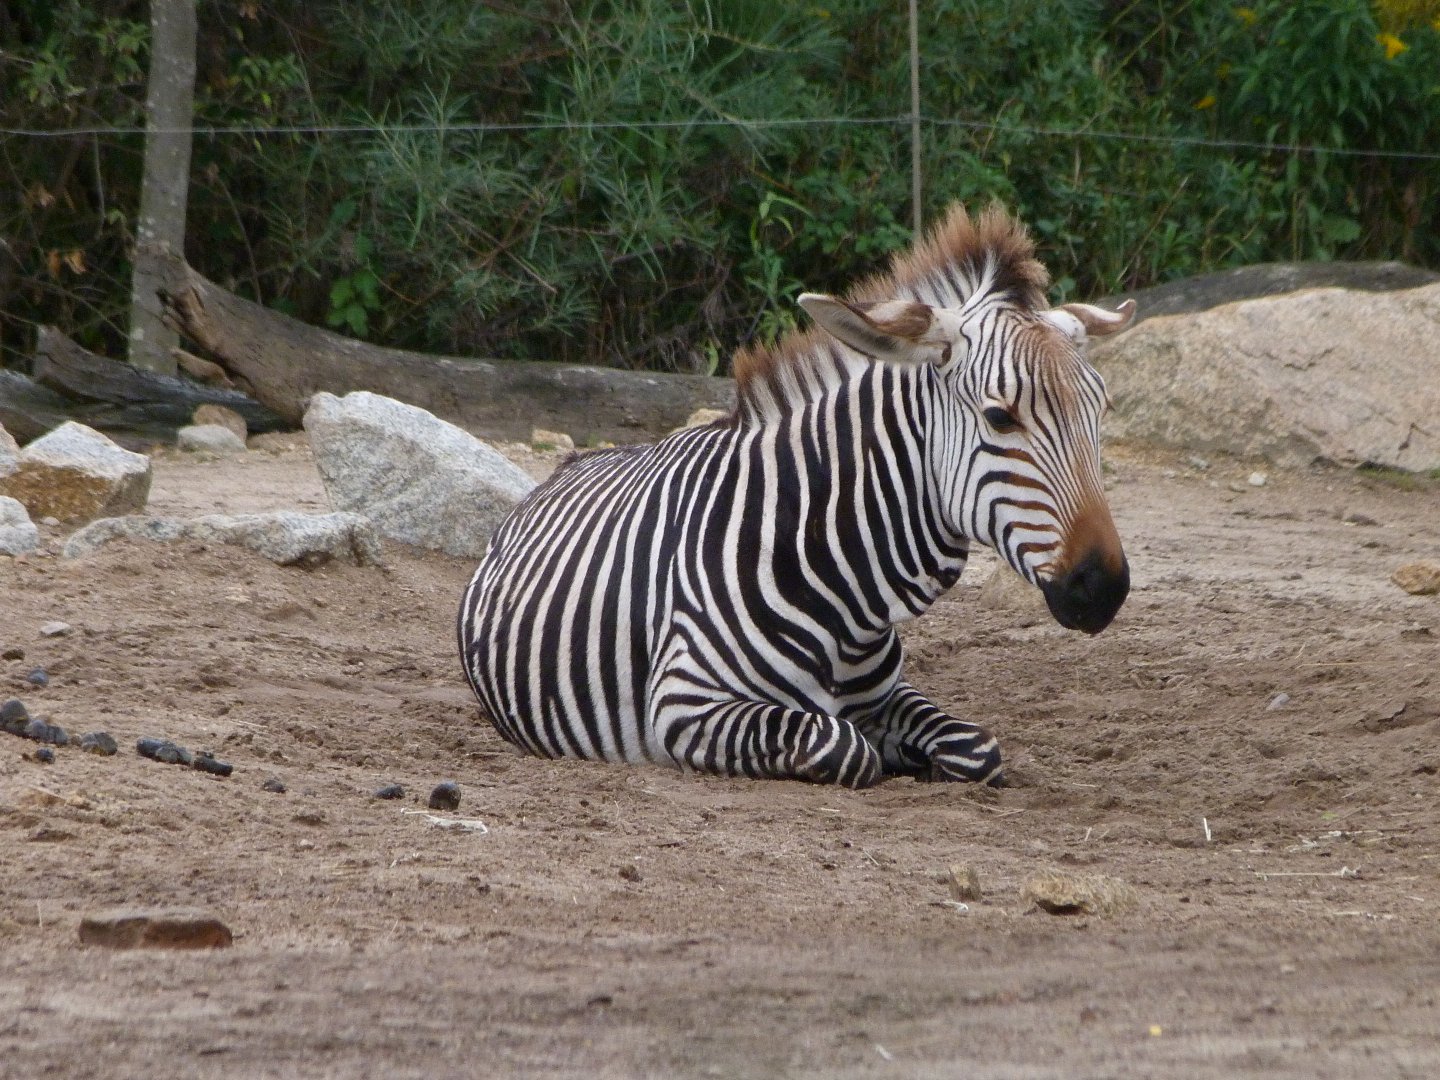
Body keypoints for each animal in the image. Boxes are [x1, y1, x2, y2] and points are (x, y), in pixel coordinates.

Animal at [458, 204, 1135, 789]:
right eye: (999, 417)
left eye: (1101, 410)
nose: (1104, 588)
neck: (844, 594)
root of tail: (572, 461)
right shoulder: (683, 703)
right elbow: (844, 746)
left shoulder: (887, 695)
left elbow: (977, 748)